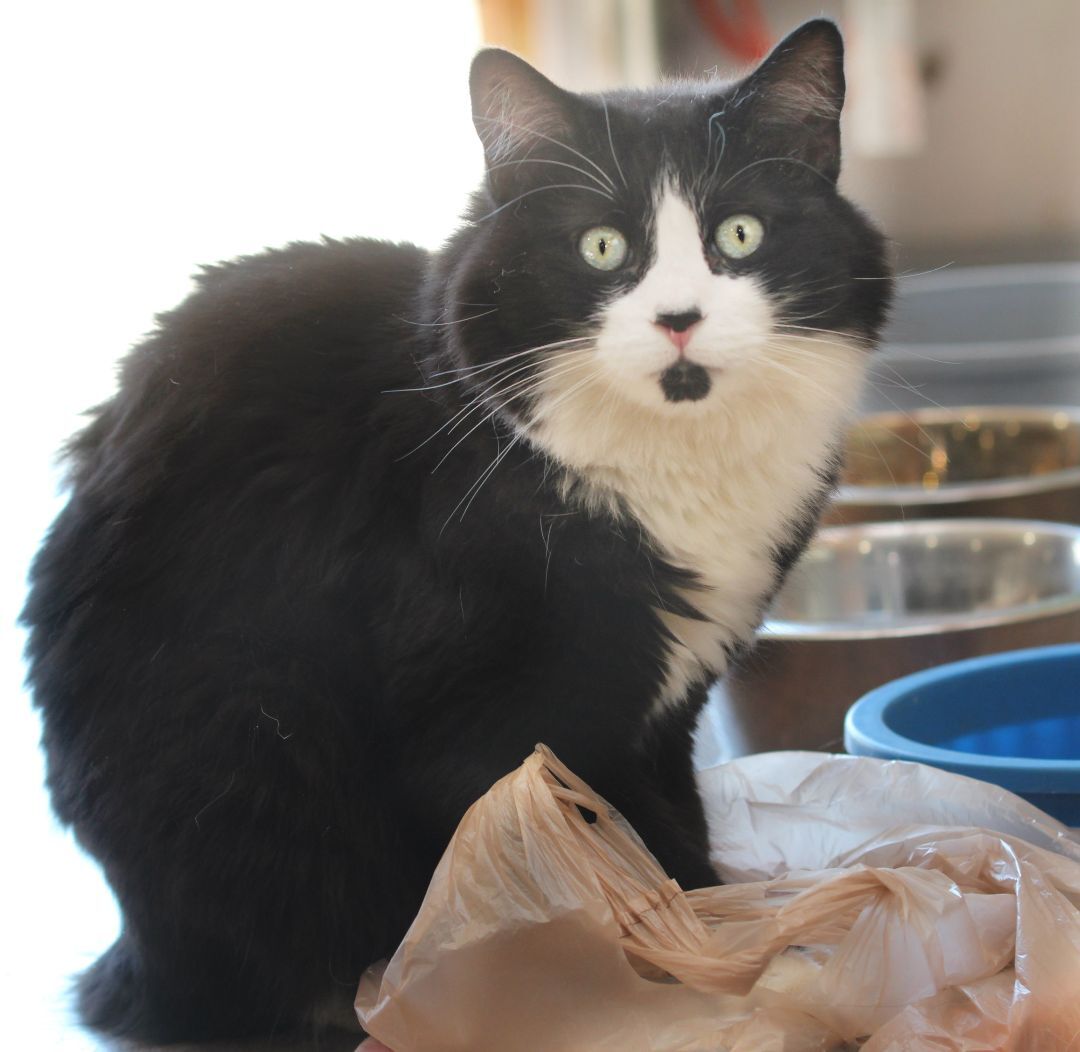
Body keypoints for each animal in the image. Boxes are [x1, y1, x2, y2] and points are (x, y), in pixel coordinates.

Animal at [21, 20, 889, 1049]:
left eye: (740, 234)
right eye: (602, 247)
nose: (679, 319)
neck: (669, 465)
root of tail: (130, 956)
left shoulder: (666, 709)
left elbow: (670, 826)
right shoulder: (491, 725)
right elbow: (616, 851)